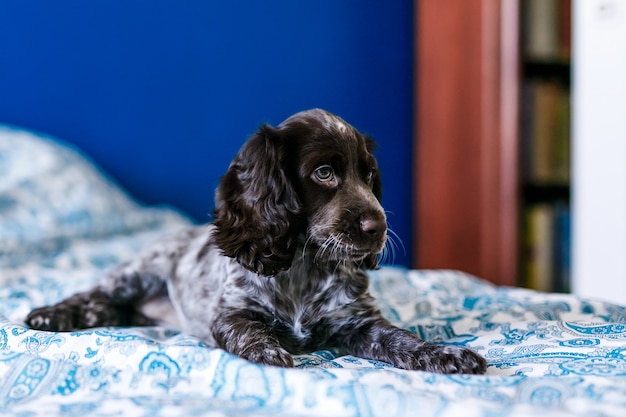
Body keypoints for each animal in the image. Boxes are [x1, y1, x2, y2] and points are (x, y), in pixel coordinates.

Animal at [26, 108, 488, 374]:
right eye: (324, 173)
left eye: (369, 175)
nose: (378, 226)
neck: (303, 265)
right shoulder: (231, 314)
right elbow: (250, 332)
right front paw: (268, 351)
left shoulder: (358, 322)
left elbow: (400, 338)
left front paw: (445, 354)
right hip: (137, 273)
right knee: (94, 295)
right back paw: (51, 315)